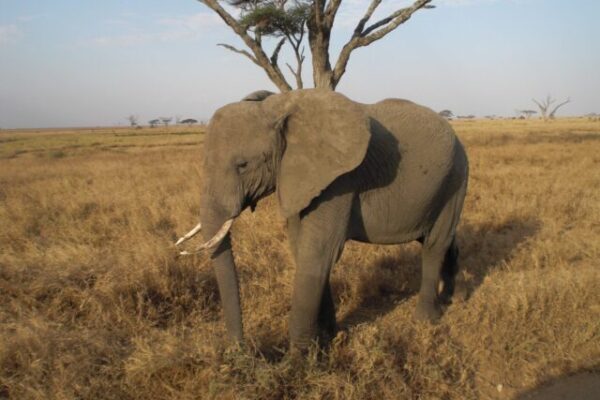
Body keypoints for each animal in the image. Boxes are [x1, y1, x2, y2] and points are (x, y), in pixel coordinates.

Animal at [177, 88, 468, 350]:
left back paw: (426, 320)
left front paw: (300, 362)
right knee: (439, 240)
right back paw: (453, 298)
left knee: (434, 245)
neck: (277, 106)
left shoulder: (339, 181)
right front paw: (329, 338)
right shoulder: (299, 179)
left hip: (455, 179)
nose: (240, 351)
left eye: (243, 165)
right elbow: (303, 250)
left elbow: (318, 252)